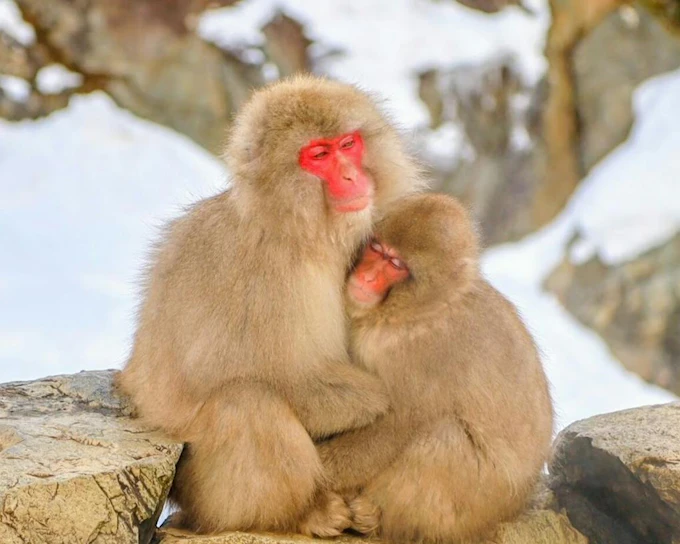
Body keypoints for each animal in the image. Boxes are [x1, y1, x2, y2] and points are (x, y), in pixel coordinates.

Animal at [115, 75, 424, 536]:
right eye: (319, 155)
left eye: (347, 144)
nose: (351, 174)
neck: (299, 232)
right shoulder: (260, 273)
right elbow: (244, 371)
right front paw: (375, 401)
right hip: (203, 493)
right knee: (247, 402)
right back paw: (302, 513)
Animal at [316, 193, 554, 543]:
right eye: (377, 248)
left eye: (396, 265)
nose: (367, 277)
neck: (420, 311)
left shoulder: (422, 355)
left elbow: (396, 427)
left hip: (475, 505)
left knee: (441, 437)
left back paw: (375, 520)